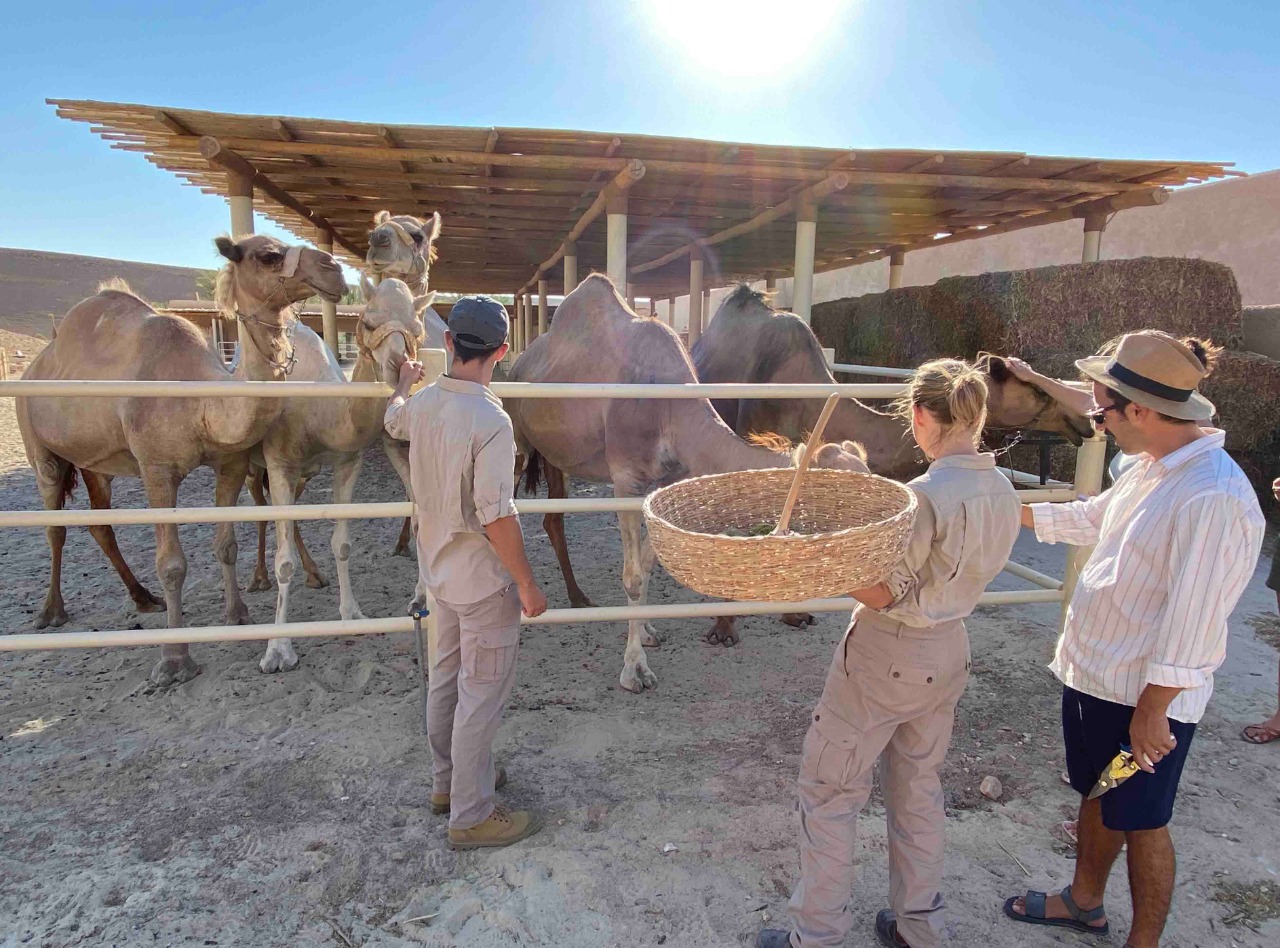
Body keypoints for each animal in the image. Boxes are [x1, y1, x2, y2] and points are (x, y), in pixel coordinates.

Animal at [17, 232, 345, 685]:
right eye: (267, 255)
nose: (333, 268)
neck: (202, 401)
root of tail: (35, 365)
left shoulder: (231, 463)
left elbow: (226, 544)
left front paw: (237, 614)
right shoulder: (156, 468)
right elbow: (171, 564)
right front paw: (174, 660)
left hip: (96, 464)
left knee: (100, 524)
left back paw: (143, 598)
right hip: (38, 444)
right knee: (54, 526)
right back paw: (51, 611)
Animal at [247, 273, 437, 675]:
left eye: (417, 329)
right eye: (368, 322)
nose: (400, 365)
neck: (321, 412)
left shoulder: (348, 460)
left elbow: (343, 543)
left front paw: (352, 614)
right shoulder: (281, 461)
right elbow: (282, 561)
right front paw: (277, 650)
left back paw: (314, 574)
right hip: (249, 465)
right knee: (253, 512)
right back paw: (250, 590)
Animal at [504, 269, 865, 690]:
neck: (670, 408)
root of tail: (516, 365)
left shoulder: (664, 480)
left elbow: (647, 564)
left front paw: (646, 633)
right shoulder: (626, 476)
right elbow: (632, 576)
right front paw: (635, 669)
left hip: (554, 455)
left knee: (550, 518)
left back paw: (578, 598)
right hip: (516, 440)